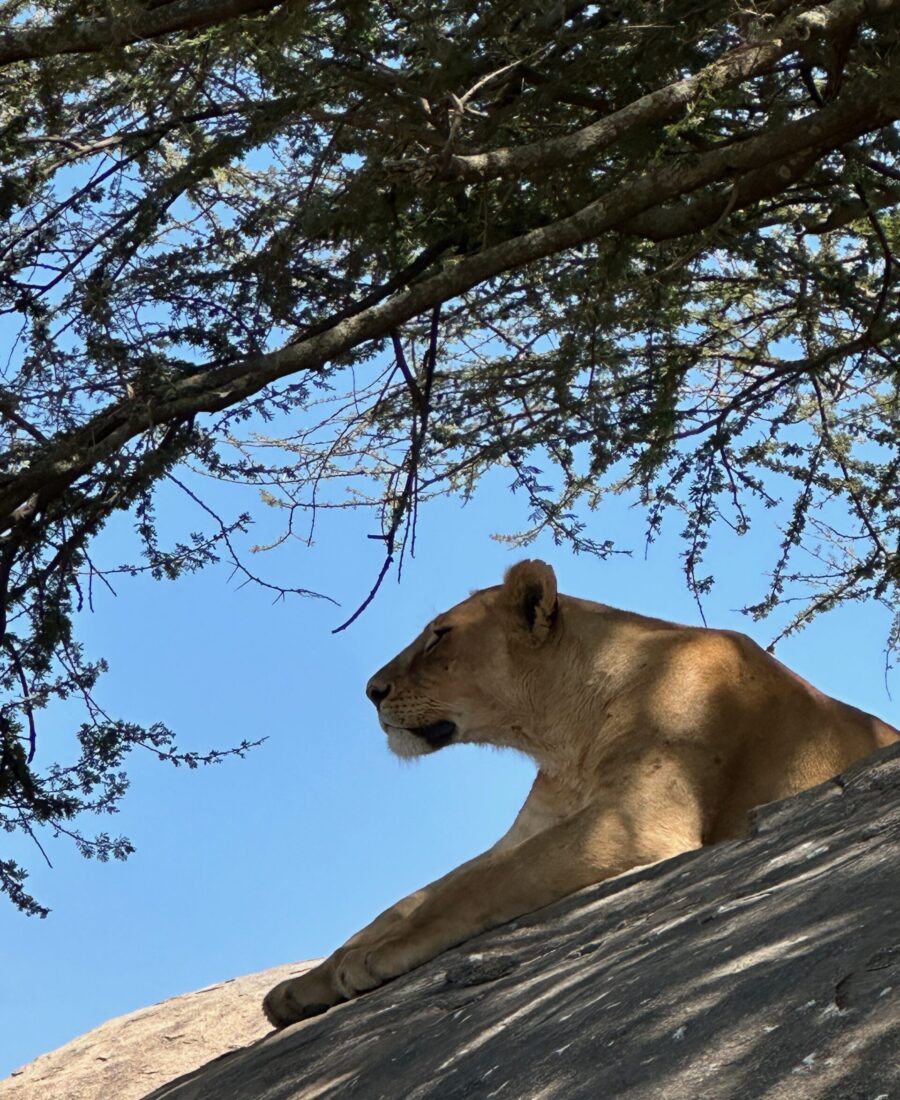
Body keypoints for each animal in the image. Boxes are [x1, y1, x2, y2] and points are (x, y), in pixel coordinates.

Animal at [262, 563, 893, 1025]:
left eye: (440, 636)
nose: (372, 691)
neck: (565, 736)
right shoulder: (534, 826)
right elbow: (414, 897)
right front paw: (306, 984)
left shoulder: (639, 819)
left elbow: (476, 887)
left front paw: (372, 958)